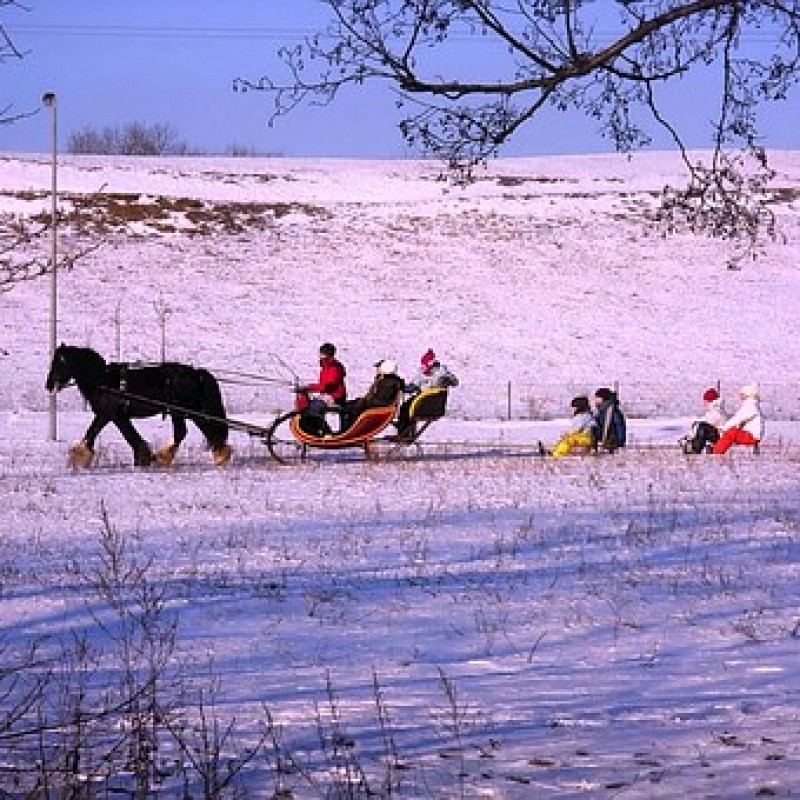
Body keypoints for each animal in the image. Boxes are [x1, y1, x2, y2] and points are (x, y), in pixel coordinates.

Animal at [46, 346, 230, 468]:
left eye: (59, 362)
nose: (48, 385)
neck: (103, 380)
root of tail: (196, 373)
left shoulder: (114, 415)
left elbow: (126, 436)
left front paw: (143, 458)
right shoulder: (107, 415)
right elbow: (92, 433)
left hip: (182, 411)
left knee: (189, 431)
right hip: (186, 411)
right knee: (201, 430)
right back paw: (219, 454)